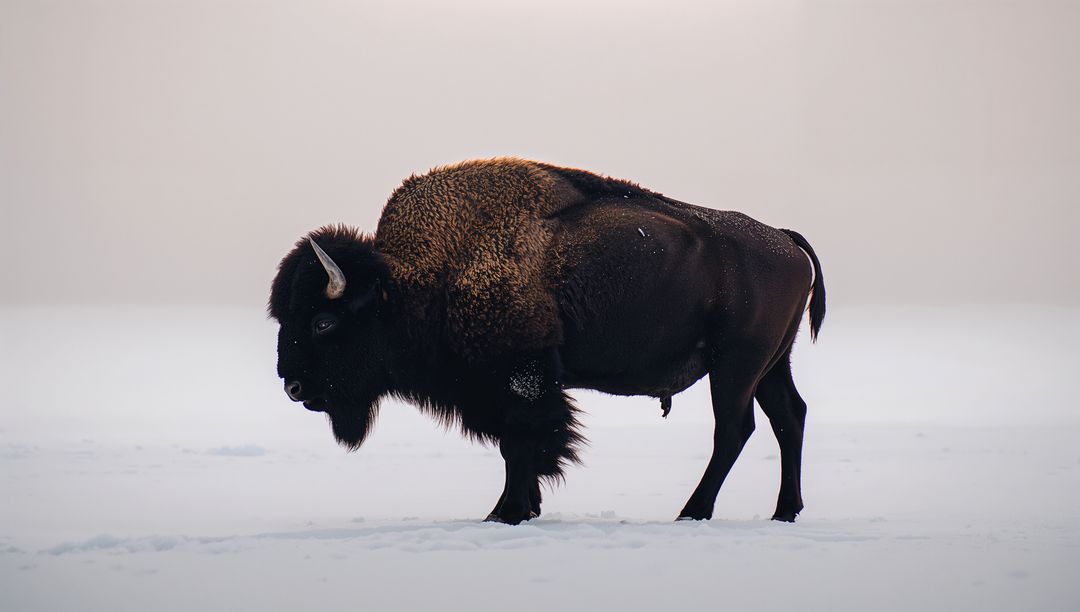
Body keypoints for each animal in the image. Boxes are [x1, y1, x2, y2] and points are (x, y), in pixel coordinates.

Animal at [269, 158, 825, 524]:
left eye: (322, 322)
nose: (292, 386)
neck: (410, 282)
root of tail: (783, 238)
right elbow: (521, 449)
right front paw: (520, 509)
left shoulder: (520, 378)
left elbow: (520, 445)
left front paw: (507, 513)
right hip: (771, 365)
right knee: (788, 417)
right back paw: (784, 512)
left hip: (735, 366)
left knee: (734, 429)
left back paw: (693, 512)